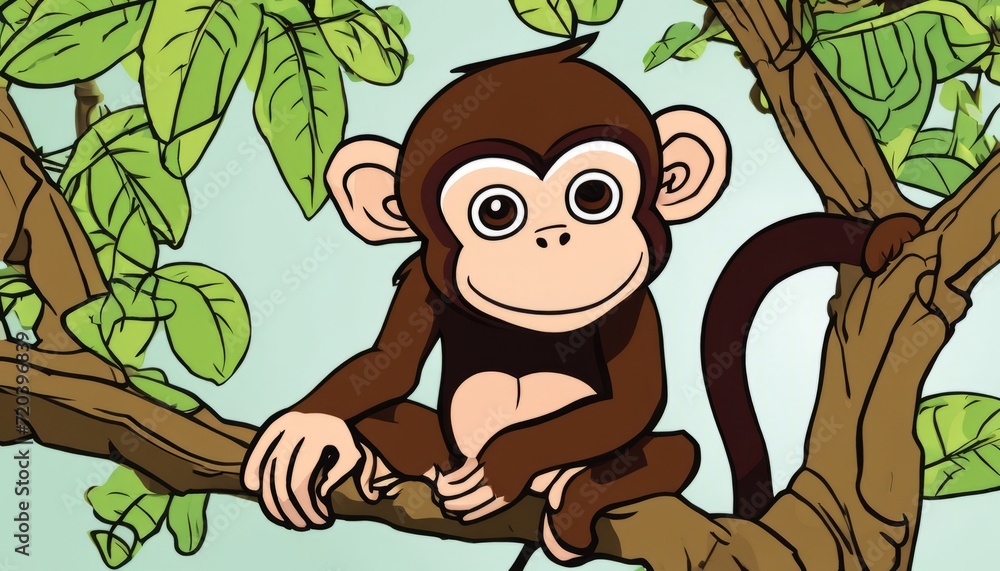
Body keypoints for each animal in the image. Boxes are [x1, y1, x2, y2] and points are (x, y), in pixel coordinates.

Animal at [241, 35, 922, 565]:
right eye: (496, 211)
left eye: (593, 196)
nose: (554, 236)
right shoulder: (423, 289)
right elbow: (388, 364)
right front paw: (311, 429)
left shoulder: (631, 303)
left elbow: (635, 400)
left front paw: (503, 466)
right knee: (394, 420)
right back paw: (370, 459)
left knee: (678, 450)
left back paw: (571, 506)